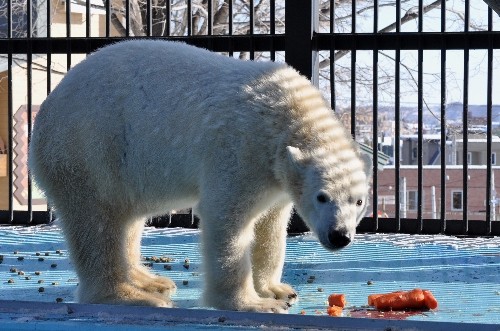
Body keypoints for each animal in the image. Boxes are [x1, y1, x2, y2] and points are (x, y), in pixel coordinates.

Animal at [28, 40, 372, 316]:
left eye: (358, 201)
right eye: (322, 196)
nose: (340, 236)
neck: (284, 112)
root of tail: (44, 113)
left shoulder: (275, 174)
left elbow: (271, 225)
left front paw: (277, 289)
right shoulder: (239, 149)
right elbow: (228, 220)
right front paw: (254, 303)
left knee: (125, 219)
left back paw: (150, 280)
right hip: (87, 150)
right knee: (97, 225)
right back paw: (131, 296)